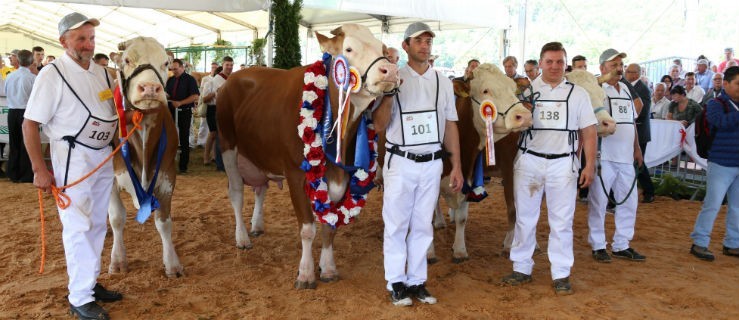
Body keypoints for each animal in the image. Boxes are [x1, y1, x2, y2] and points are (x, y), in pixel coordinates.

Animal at [107, 37, 184, 278]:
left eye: (165, 63)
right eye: (127, 60)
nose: (150, 88)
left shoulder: (167, 176)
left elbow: (164, 222)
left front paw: (172, 264)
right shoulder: (110, 179)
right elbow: (117, 218)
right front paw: (118, 260)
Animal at [217, 24, 396, 290]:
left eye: (382, 48)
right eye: (349, 49)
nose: (390, 69)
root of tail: (238, 75)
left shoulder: (342, 177)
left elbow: (330, 227)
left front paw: (328, 268)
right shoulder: (295, 174)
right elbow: (308, 228)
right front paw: (305, 273)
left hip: (260, 153)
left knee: (261, 188)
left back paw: (256, 225)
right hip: (228, 145)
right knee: (237, 193)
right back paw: (242, 238)